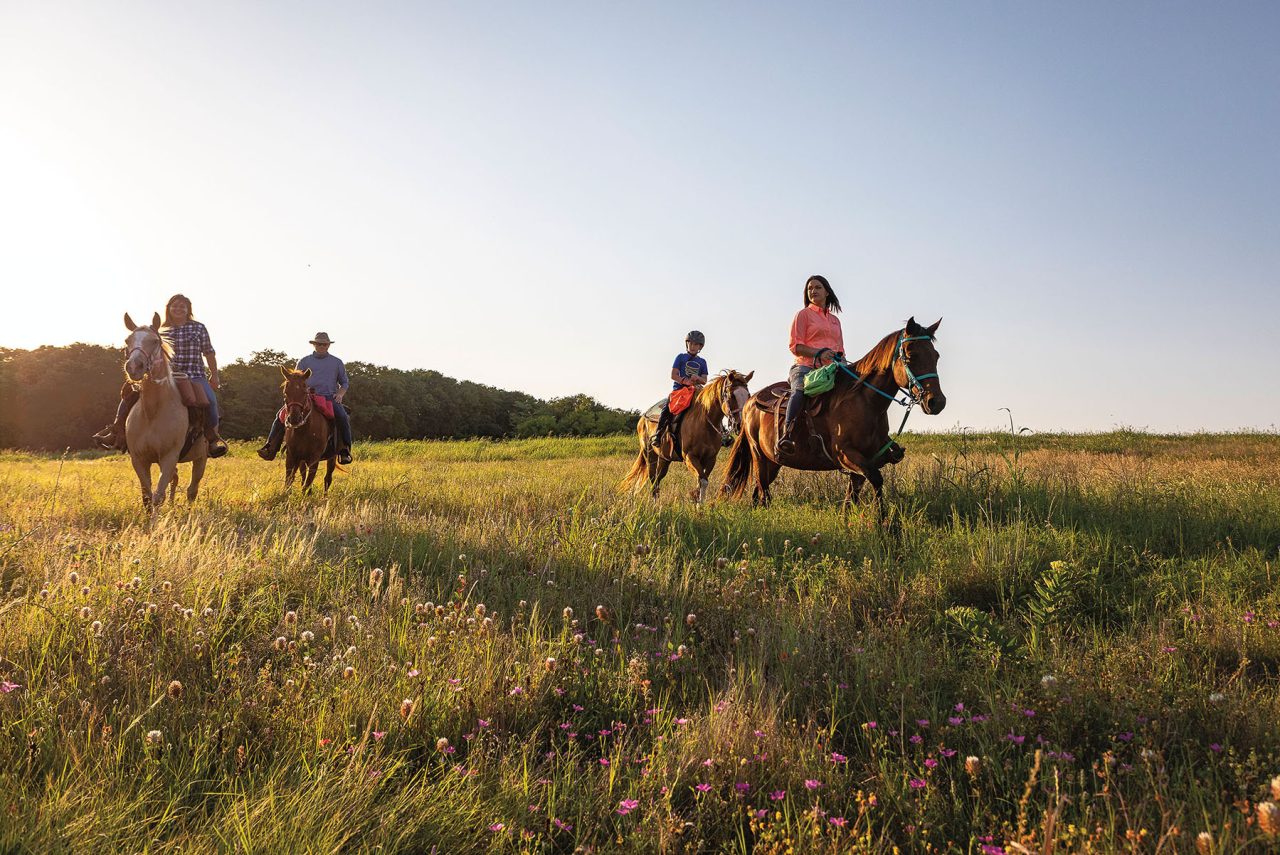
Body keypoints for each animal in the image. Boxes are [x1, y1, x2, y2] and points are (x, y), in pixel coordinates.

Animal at [120, 313, 207, 514]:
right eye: (128, 340)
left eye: (154, 341)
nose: (134, 367)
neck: (152, 412)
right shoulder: (139, 459)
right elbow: (147, 496)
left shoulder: (168, 457)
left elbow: (158, 496)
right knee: (175, 481)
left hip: (201, 459)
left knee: (192, 490)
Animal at [616, 371, 747, 504]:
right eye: (731, 396)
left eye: (748, 395)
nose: (740, 424)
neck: (704, 421)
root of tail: (642, 419)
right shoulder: (690, 457)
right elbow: (702, 481)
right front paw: (699, 505)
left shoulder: (710, 459)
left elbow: (702, 481)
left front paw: (698, 502)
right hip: (650, 455)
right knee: (653, 480)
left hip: (664, 458)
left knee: (658, 479)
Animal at [727, 319, 947, 517]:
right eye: (910, 356)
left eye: (936, 356)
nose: (937, 402)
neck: (864, 402)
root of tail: (750, 402)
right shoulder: (846, 454)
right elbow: (877, 479)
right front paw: (884, 523)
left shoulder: (865, 460)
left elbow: (852, 497)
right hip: (759, 455)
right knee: (763, 489)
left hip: (773, 461)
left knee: (758, 492)